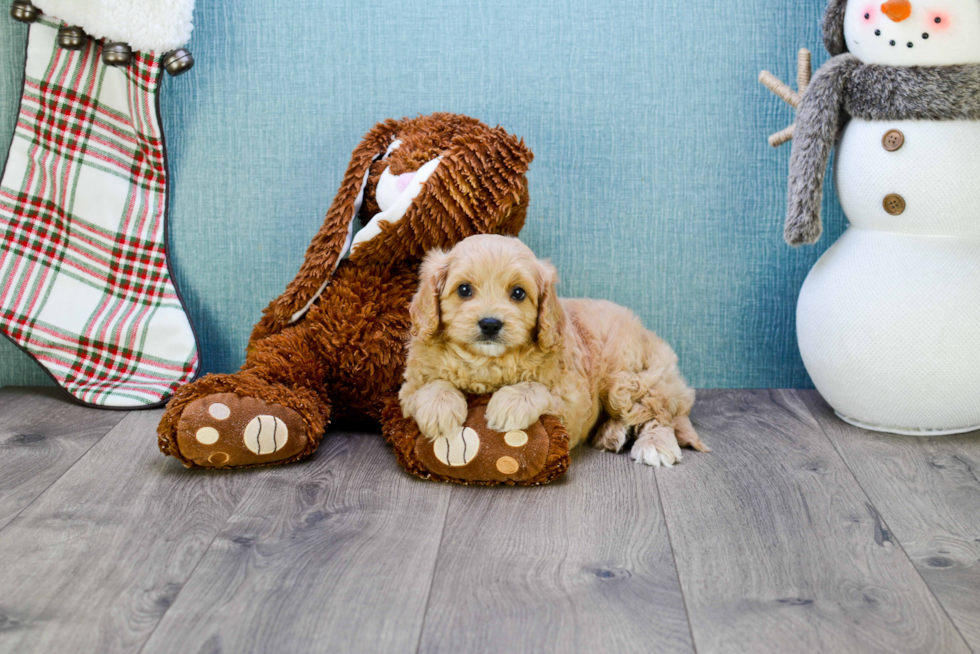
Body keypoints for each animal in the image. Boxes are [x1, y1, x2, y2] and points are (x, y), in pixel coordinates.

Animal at [394, 236, 708, 466]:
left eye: (518, 293)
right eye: (464, 290)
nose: (490, 324)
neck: (488, 362)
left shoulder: (574, 400)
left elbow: (537, 388)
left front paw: (509, 403)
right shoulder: (408, 388)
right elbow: (430, 386)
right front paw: (439, 409)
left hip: (628, 379)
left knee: (659, 413)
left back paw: (654, 444)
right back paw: (612, 433)